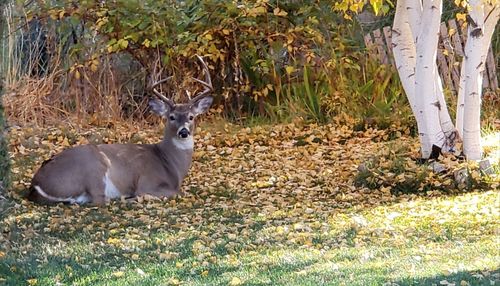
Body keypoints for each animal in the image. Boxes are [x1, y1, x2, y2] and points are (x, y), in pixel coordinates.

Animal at [27, 55, 214, 204]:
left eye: (191, 117)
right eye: (172, 117)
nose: (184, 132)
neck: (170, 165)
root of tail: (35, 185)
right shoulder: (148, 181)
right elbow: (175, 192)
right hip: (93, 169)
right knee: (100, 200)